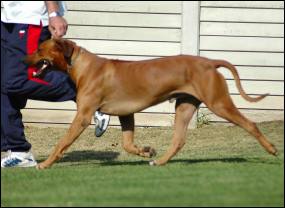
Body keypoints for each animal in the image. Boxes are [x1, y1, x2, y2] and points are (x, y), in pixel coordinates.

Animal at [25, 38, 278, 169]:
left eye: (39, 49)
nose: (24, 58)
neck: (80, 64)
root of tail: (209, 61)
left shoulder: (84, 115)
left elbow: (62, 142)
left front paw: (45, 164)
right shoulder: (126, 113)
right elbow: (127, 144)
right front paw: (146, 151)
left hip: (218, 103)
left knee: (251, 124)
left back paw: (271, 149)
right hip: (185, 106)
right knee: (179, 140)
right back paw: (160, 161)